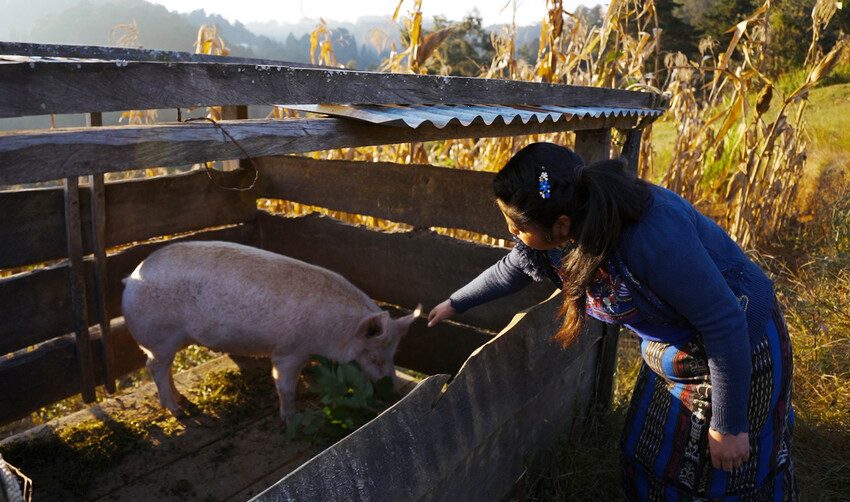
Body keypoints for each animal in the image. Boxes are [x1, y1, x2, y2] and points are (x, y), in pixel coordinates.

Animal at [120, 241, 420, 422]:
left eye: (394, 354)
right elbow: (285, 386)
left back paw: (180, 400)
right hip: (159, 336)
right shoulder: (288, 351)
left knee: (164, 368)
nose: (394, 391)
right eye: (374, 357)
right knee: (154, 367)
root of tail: (131, 276)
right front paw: (290, 419)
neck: (336, 330)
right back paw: (178, 411)